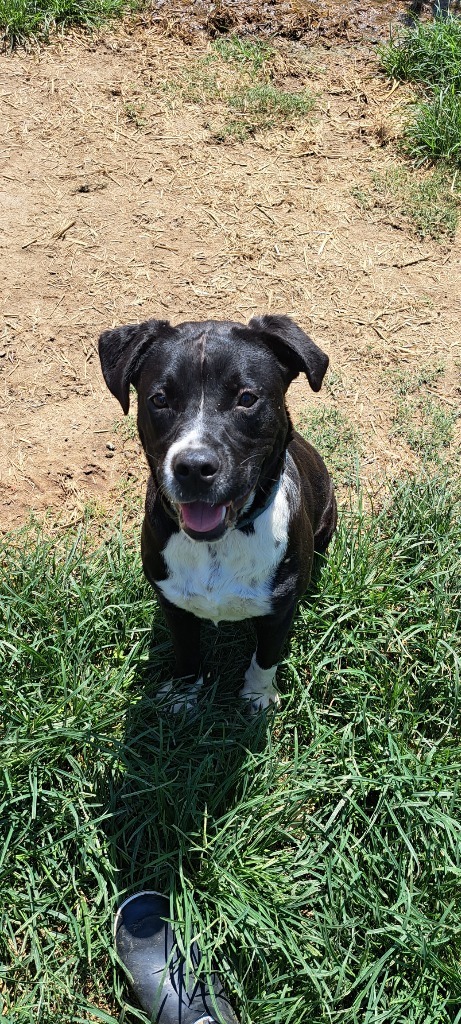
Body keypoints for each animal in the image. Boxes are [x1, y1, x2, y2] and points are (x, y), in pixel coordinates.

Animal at [98, 313, 333, 712]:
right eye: (159, 399)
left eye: (247, 398)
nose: (193, 467)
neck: (218, 545)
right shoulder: (173, 605)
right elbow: (186, 654)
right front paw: (184, 694)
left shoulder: (278, 613)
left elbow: (265, 657)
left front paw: (257, 696)